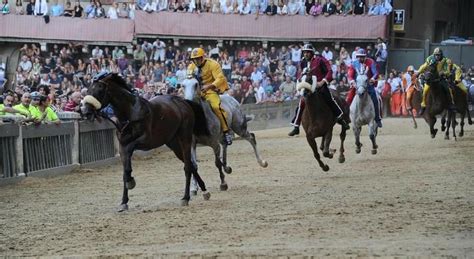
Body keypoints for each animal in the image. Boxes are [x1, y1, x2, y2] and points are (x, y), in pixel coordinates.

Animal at [82, 72, 211, 212]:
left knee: (187, 167)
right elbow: (125, 171)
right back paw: (204, 191)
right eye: (88, 90)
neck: (130, 113)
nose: (86, 111)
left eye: (100, 90)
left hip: (185, 139)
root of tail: (183, 101)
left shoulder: (145, 140)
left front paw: (131, 182)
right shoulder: (122, 147)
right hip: (174, 144)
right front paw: (124, 201)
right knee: (191, 166)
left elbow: (130, 155)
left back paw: (186, 198)